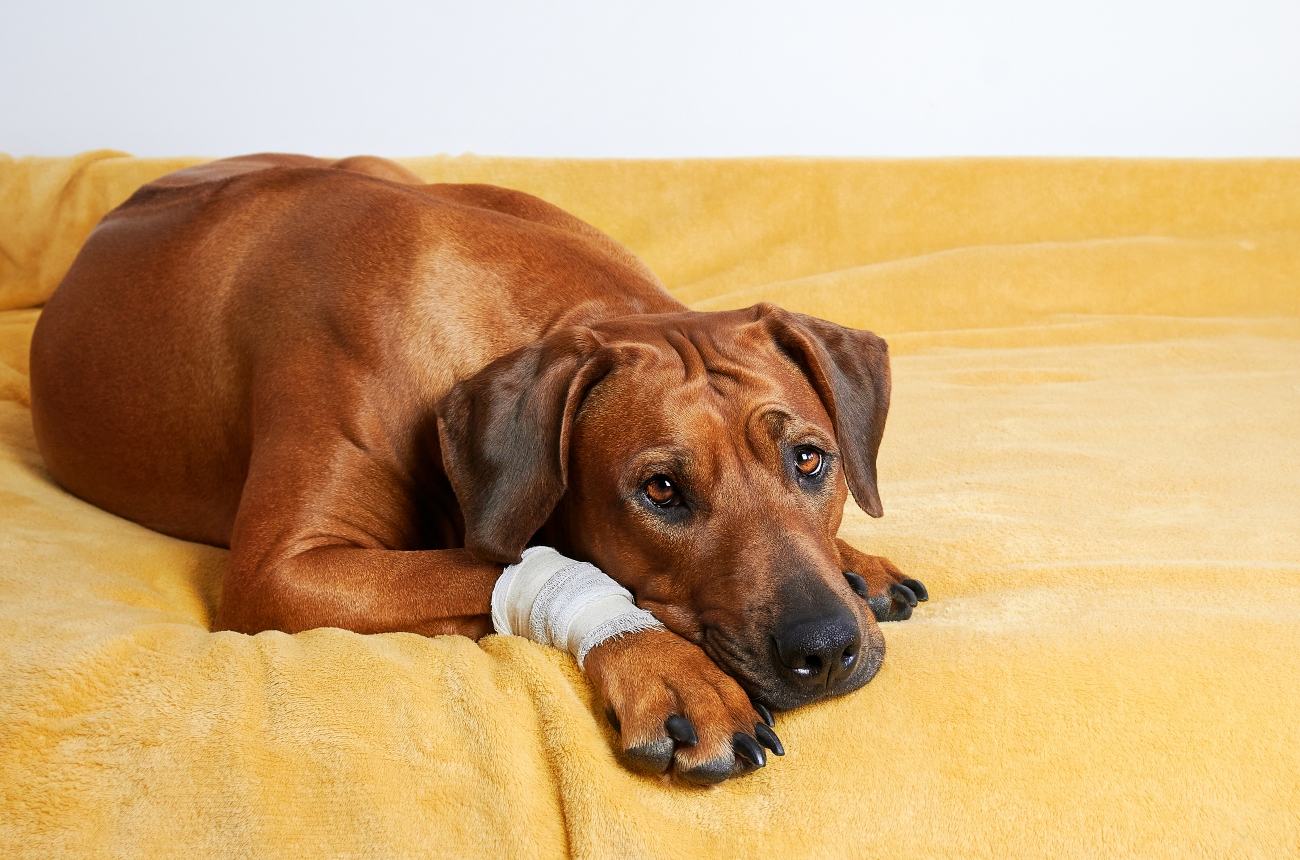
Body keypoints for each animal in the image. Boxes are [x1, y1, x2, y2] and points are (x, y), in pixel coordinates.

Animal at [30, 151, 925, 784]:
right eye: (661, 490)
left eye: (810, 460)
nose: (826, 649)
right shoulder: (281, 572)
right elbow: (491, 565)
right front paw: (672, 672)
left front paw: (856, 560)